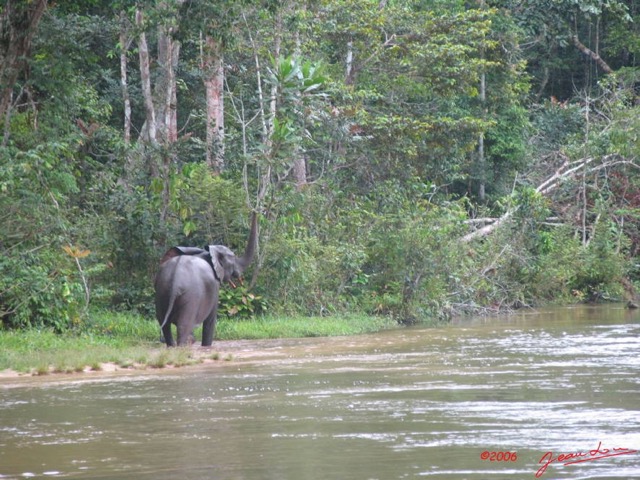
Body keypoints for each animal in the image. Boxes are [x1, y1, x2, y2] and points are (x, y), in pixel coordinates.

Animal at [155, 213, 258, 344]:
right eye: (233, 258)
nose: (255, 211)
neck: (207, 252)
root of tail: (174, 281)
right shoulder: (214, 286)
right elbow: (210, 320)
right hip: (190, 296)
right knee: (183, 325)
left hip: (161, 292)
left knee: (165, 325)